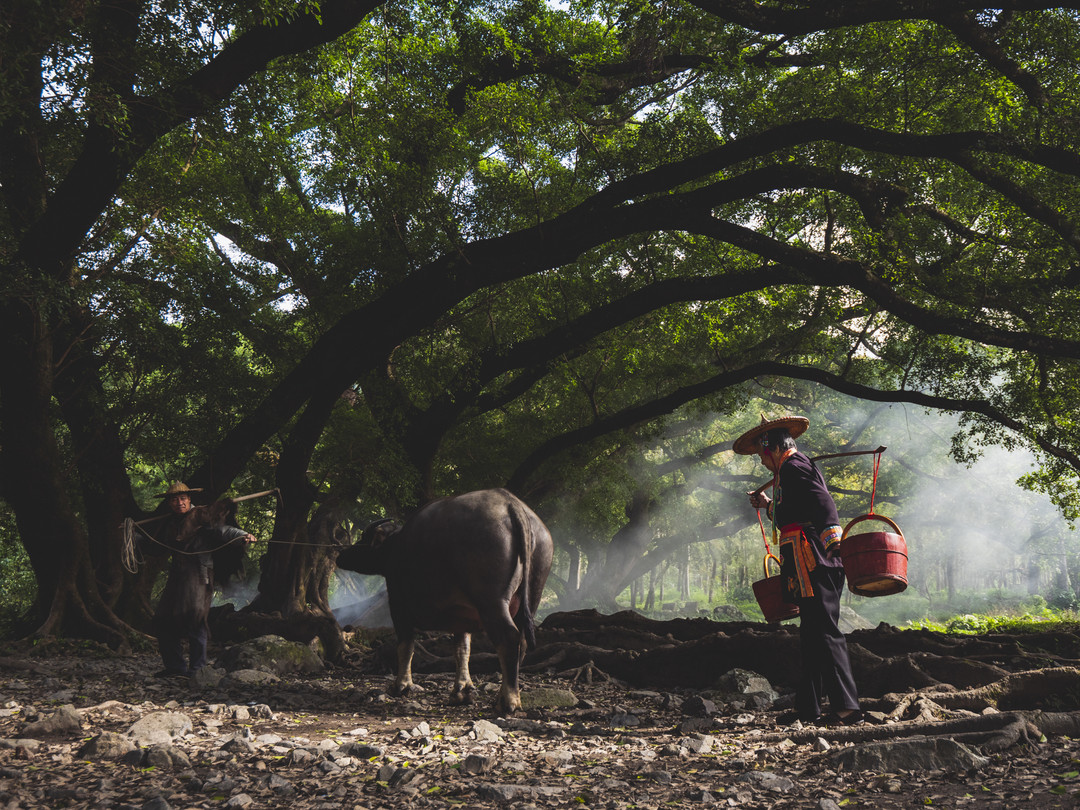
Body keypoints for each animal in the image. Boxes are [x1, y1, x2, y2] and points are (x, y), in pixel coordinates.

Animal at [336, 488, 552, 708]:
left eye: (364, 538)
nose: (341, 554)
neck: (394, 546)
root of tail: (511, 505)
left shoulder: (398, 605)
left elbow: (406, 645)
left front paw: (401, 685)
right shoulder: (463, 616)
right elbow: (462, 649)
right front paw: (462, 690)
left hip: (492, 602)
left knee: (509, 637)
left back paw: (508, 701)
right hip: (532, 595)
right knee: (522, 642)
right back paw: (503, 695)